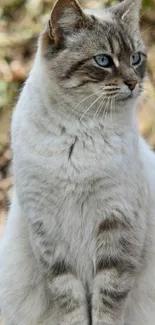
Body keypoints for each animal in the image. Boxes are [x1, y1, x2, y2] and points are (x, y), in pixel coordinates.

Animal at [0, 0, 155, 322]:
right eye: (103, 60)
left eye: (135, 58)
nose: (134, 83)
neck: (79, 130)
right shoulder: (48, 232)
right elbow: (70, 301)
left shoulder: (117, 223)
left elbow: (107, 302)